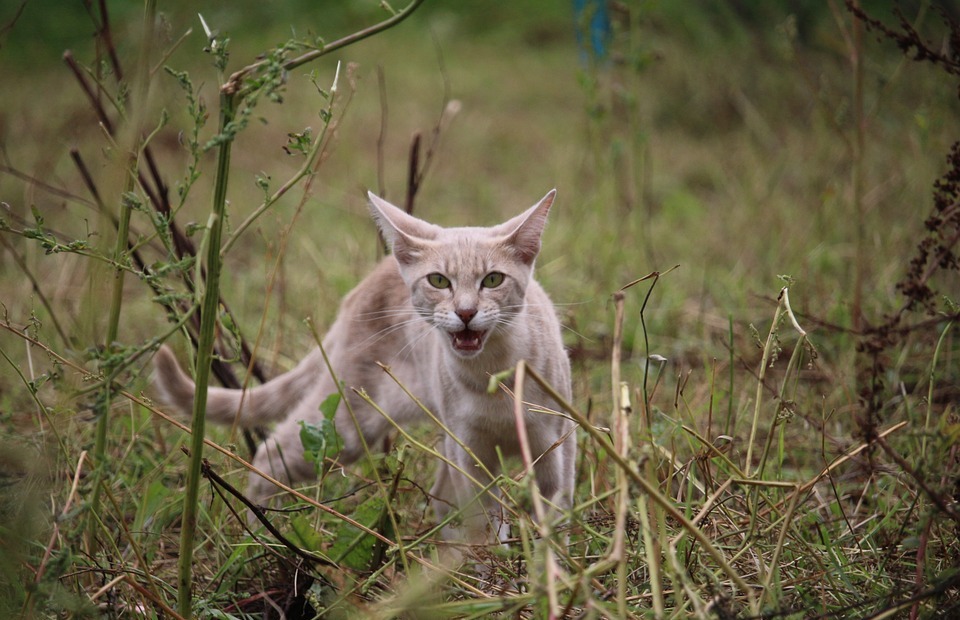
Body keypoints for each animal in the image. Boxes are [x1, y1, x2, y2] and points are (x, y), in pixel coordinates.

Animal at [153, 189, 572, 544]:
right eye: (439, 281)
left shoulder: (558, 446)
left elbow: (554, 521)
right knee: (269, 454)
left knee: (440, 498)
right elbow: (484, 527)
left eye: (493, 279)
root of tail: (365, 284)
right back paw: (263, 537)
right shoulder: (470, 454)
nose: (466, 313)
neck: (492, 377)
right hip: (347, 422)